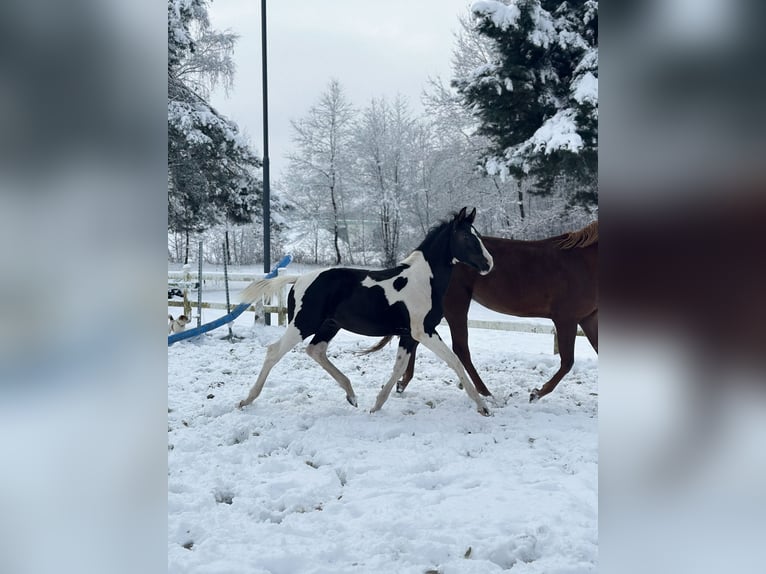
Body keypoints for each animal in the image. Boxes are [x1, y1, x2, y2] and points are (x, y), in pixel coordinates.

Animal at [235, 207, 495, 415]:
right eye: (466, 236)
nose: (489, 264)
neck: (423, 280)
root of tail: (298, 279)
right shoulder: (424, 331)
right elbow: (454, 361)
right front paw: (483, 407)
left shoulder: (409, 335)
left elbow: (399, 367)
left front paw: (376, 405)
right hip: (303, 324)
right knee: (274, 351)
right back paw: (246, 400)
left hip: (329, 325)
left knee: (315, 350)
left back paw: (351, 395)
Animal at [366, 221, 598, 402]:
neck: (583, 262)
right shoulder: (566, 319)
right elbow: (567, 362)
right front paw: (536, 393)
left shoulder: (588, 318)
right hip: (456, 306)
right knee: (460, 349)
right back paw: (485, 393)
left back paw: (402, 383)